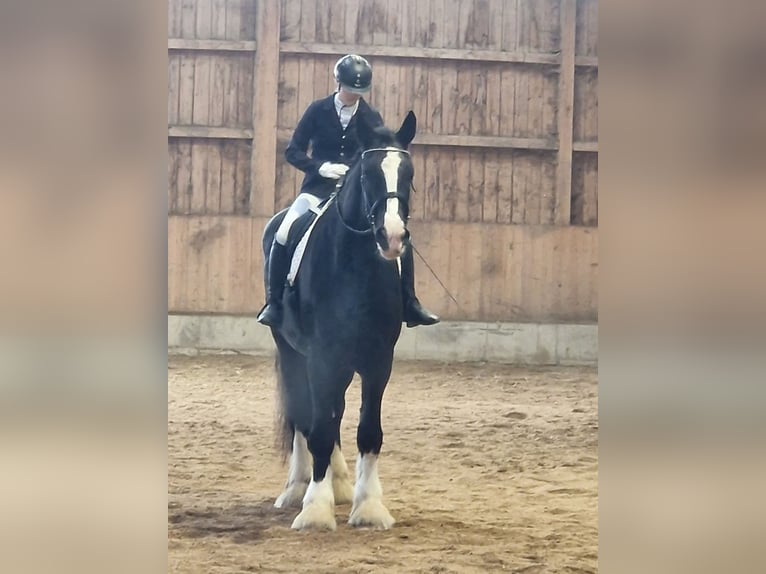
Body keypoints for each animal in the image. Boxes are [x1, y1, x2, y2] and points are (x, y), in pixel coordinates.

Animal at [262, 111, 420, 532]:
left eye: (409, 174)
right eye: (366, 174)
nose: (393, 237)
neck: (356, 267)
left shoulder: (378, 361)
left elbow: (368, 431)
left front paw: (368, 506)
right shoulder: (321, 357)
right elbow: (317, 427)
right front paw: (315, 508)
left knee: (333, 414)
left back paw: (342, 484)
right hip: (293, 351)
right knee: (305, 415)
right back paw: (298, 488)